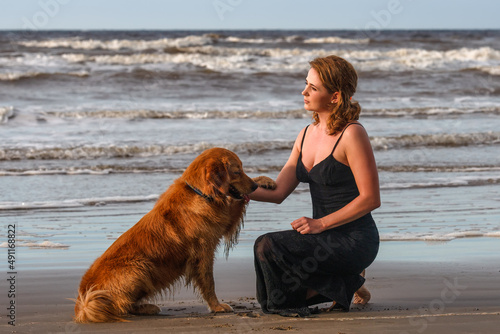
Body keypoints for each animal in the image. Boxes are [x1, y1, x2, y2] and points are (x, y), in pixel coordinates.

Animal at [73, 147, 276, 322]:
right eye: (237, 171)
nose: (254, 186)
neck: (200, 193)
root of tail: (82, 302)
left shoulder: (223, 221)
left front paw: (266, 180)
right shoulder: (203, 250)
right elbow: (208, 282)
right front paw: (216, 306)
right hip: (139, 267)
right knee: (120, 306)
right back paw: (145, 308)